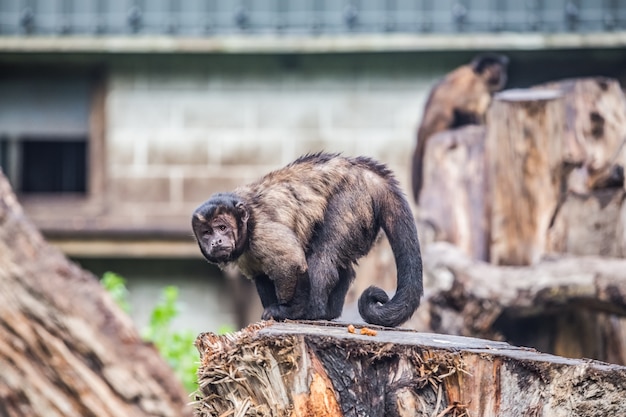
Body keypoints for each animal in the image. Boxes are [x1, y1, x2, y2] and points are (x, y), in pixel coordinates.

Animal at [193, 151, 422, 326]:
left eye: (222, 227)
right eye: (207, 233)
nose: (216, 241)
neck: (246, 223)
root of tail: (364, 172)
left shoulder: (261, 232)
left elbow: (291, 264)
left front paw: (288, 311)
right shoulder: (246, 255)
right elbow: (261, 275)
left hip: (353, 199)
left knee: (324, 255)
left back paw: (314, 312)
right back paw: (329, 312)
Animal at [410, 52, 508, 202]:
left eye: (501, 68)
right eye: (493, 69)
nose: (502, 74)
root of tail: (422, 129)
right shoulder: (474, 90)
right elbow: (467, 108)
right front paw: (479, 124)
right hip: (438, 120)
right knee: (450, 112)